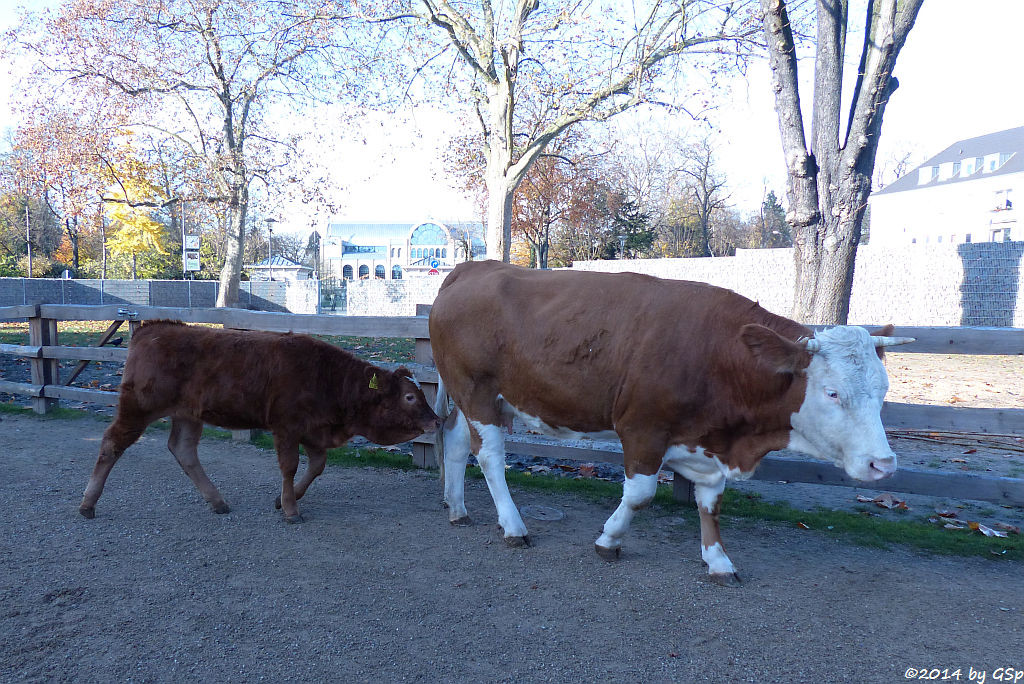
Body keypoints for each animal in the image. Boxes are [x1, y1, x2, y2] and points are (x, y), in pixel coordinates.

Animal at [78, 323, 440, 520]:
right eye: (410, 397)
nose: (437, 421)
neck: (329, 378)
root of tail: (152, 329)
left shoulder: (313, 430)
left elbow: (316, 466)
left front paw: (284, 500)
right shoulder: (287, 427)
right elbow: (290, 466)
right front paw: (291, 509)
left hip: (188, 414)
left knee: (183, 451)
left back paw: (217, 501)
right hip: (137, 408)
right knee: (111, 444)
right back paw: (88, 503)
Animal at [428, 259, 909, 585]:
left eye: (883, 390)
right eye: (832, 392)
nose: (883, 464)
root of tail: (473, 268)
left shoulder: (709, 445)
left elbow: (711, 503)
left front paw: (718, 561)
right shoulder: (643, 430)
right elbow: (641, 495)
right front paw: (609, 541)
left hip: (474, 398)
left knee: (454, 439)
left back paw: (456, 508)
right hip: (478, 393)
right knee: (489, 457)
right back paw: (513, 526)